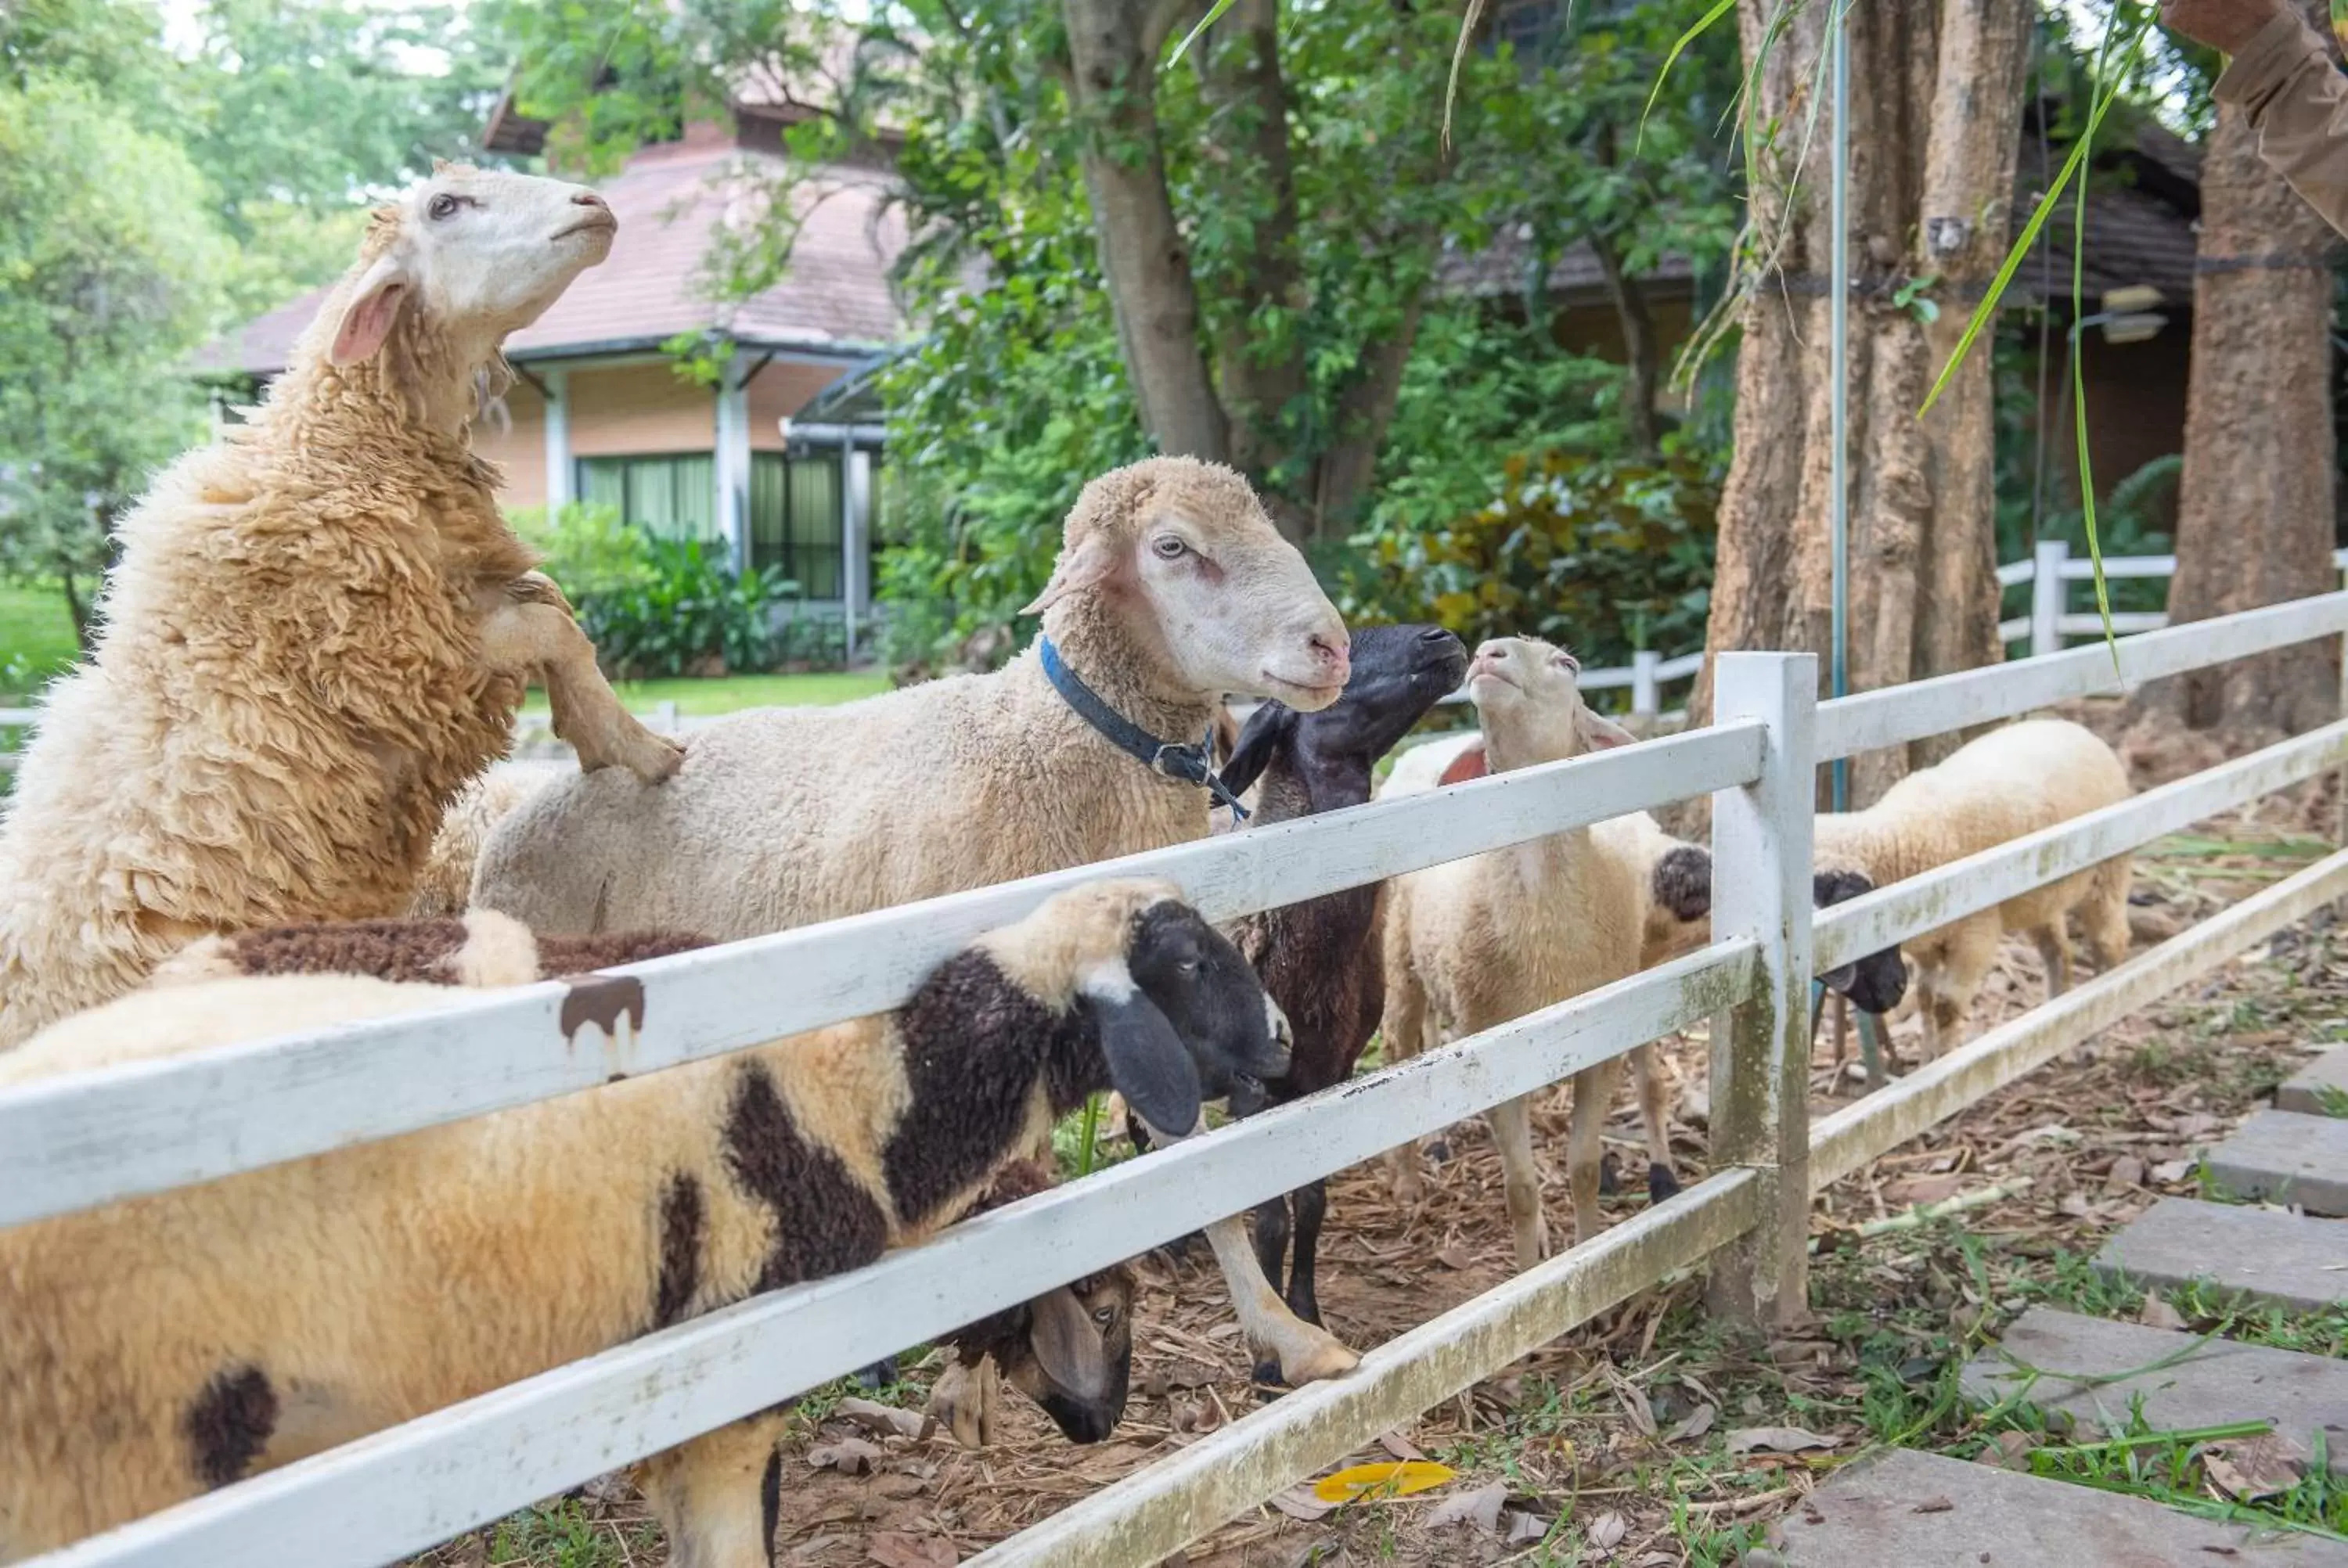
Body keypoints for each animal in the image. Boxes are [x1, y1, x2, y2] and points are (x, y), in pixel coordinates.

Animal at [0, 162, 681, 1052]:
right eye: (445, 206)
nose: (593, 205)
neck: (339, 450)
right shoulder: (397, 654)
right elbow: (554, 627)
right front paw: (637, 750)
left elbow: (554, 606)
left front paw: (607, 733)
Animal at [470, 453, 1371, 1380]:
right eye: (1173, 547)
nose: (1333, 647)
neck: (1043, 748)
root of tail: (520, 804)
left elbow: (1206, 1180)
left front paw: (1287, 1336)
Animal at [1183, 620, 1456, 1361]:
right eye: (1332, 649)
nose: (1443, 637)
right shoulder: (1255, 1092)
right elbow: (1271, 1219)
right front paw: (1273, 1349)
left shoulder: (1330, 1073)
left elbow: (1310, 1206)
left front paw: (1306, 1309)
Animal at [1803, 718, 2141, 1061]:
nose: (1895, 990)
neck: (1899, 842)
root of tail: (2073, 726)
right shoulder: (1927, 945)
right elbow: (1925, 997)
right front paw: (1927, 1060)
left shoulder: (1974, 937)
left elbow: (1945, 1007)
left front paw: (1943, 1065)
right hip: (2039, 897)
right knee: (2059, 951)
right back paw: (2057, 1025)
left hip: (2109, 872)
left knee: (2110, 943)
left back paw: (2095, 1036)